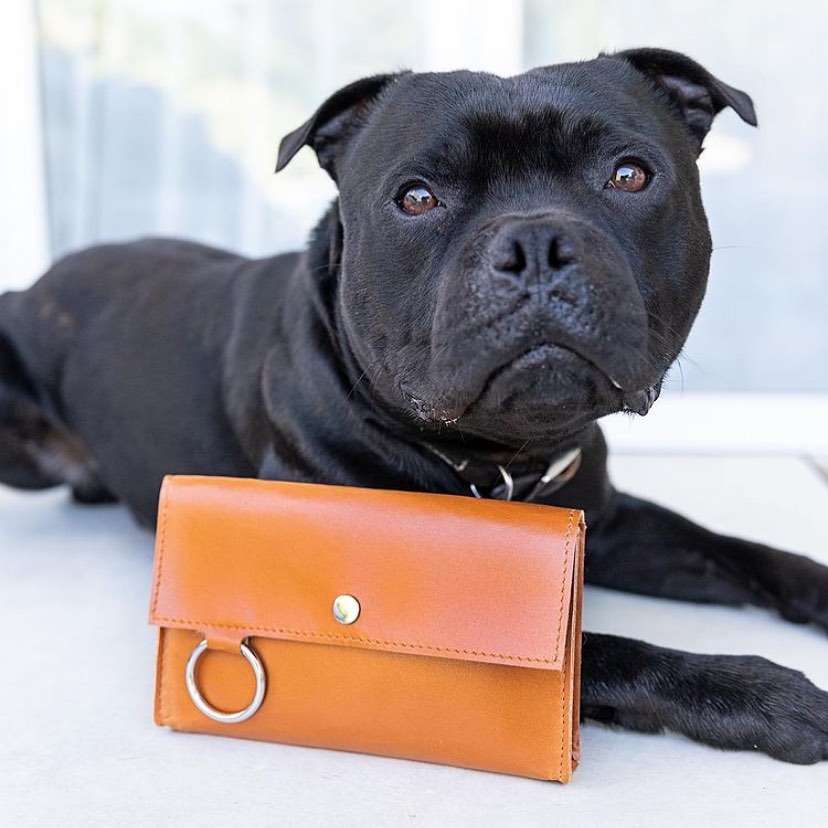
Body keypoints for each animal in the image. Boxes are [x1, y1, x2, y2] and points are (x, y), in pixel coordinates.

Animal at [1, 50, 828, 764]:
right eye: (418, 198)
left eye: (630, 175)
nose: (535, 241)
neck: (499, 459)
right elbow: (612, 649)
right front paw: (769, 696)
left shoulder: (613, 523)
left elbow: (738, 550)